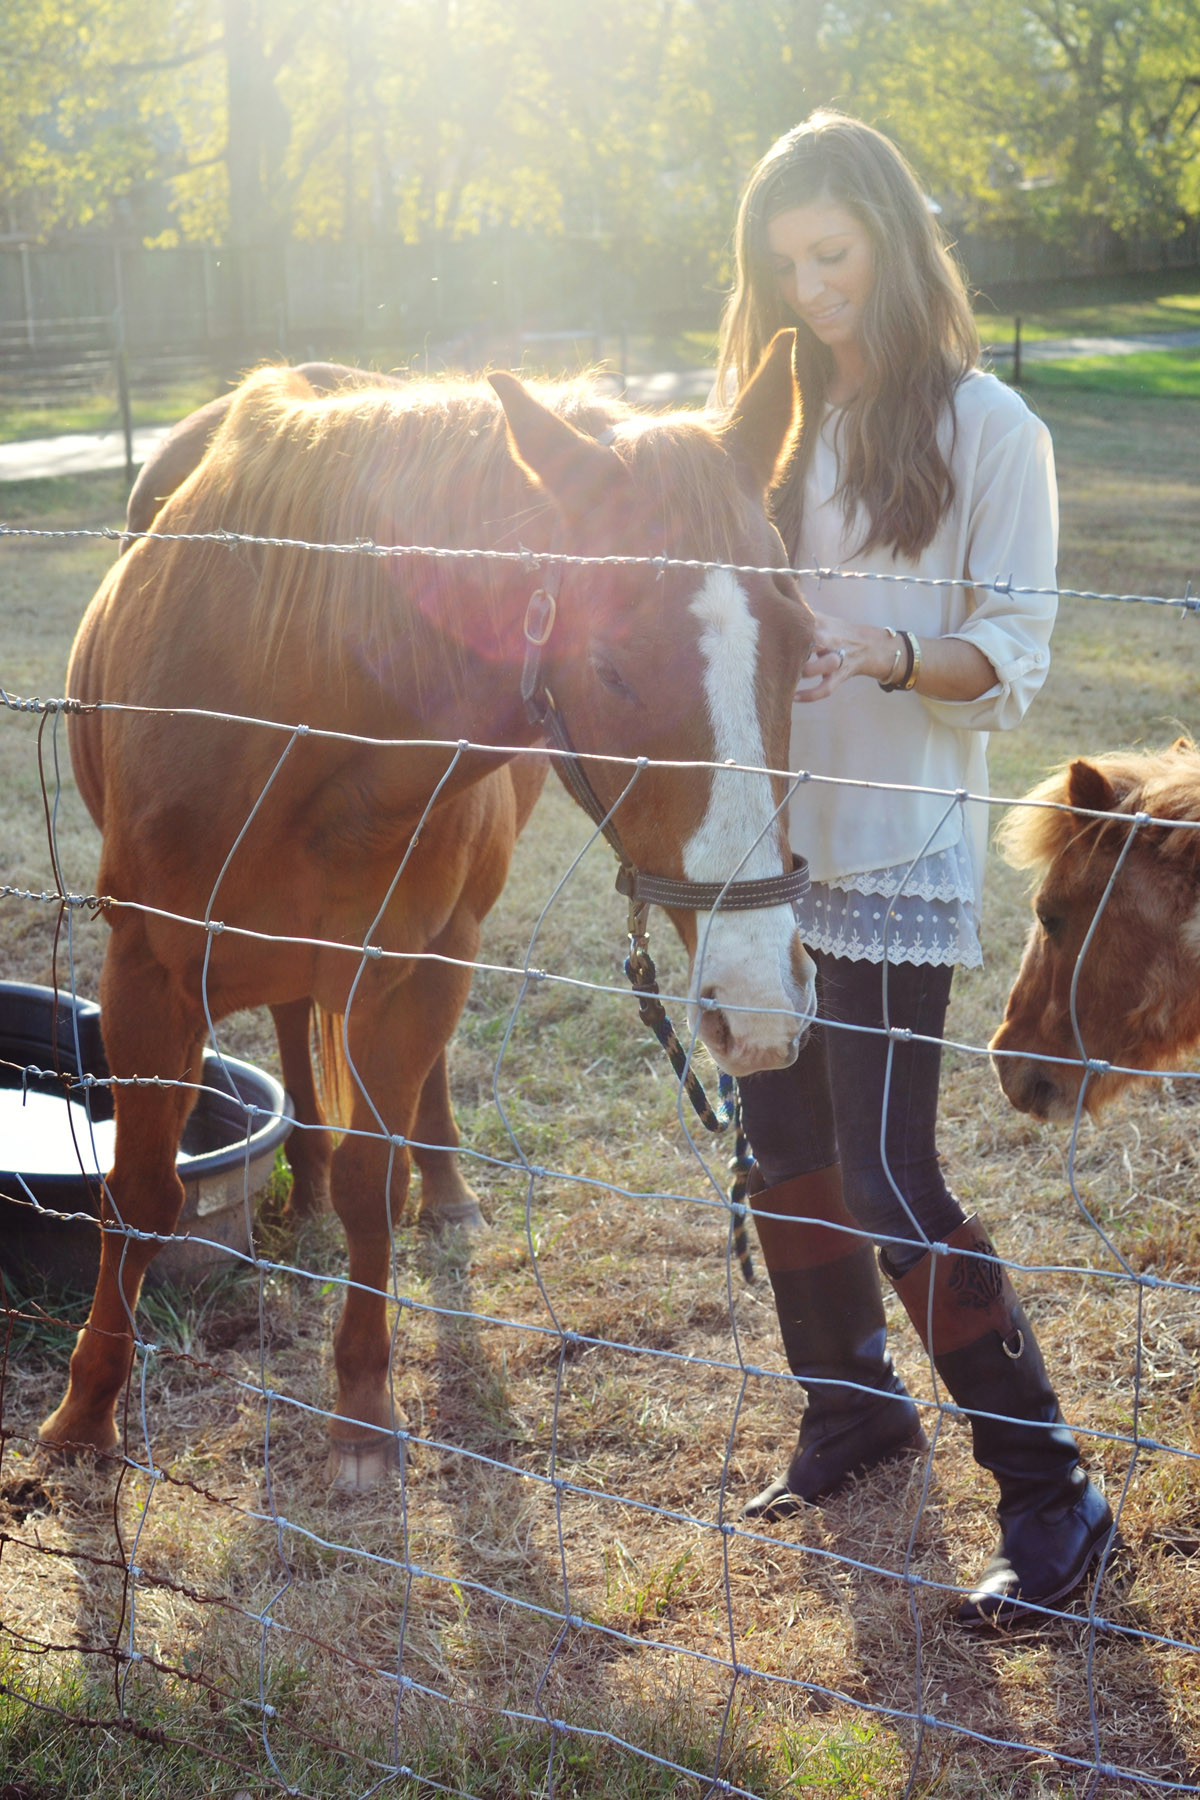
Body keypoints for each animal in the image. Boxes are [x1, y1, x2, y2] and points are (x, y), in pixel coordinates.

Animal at [49, 331, 816, 1483]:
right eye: (608, 667)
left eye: (806, 644)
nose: (760, 999)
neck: (294, 700)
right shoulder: (147, 973)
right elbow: (138, 1194)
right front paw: (86, 1411)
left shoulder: (407, 968)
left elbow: (376, 1184)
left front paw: (364, 1412)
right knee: (291, 1026)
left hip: (442, 949)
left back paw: (438, 1189)